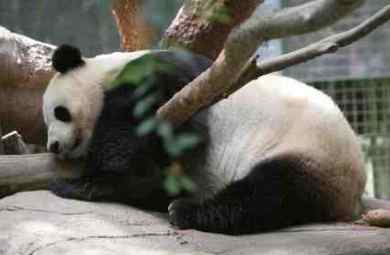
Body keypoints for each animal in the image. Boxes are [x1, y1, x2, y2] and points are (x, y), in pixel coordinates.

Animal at [42, 44, 366, 235]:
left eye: (60, 113)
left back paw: (187, 212)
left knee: (270, 191)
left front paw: (84, 183)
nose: (53, 146)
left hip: (309, 151)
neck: (108, 71)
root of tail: (350, 201)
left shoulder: (164, 79)